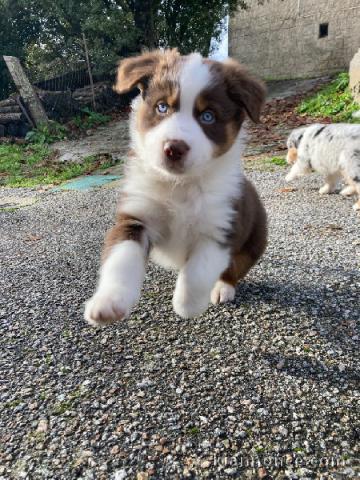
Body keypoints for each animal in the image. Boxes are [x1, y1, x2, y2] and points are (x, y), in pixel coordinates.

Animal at [83, 49, 266, 326]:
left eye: (208, 116)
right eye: (162, 107)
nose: (174, 148)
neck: (179, 185)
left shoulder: (220, 228)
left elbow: (198, 272)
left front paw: (187, 305)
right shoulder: (135, 218)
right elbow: (121, 260)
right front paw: (109, 303)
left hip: (254, 241)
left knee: (234, 268)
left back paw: (223, 288)